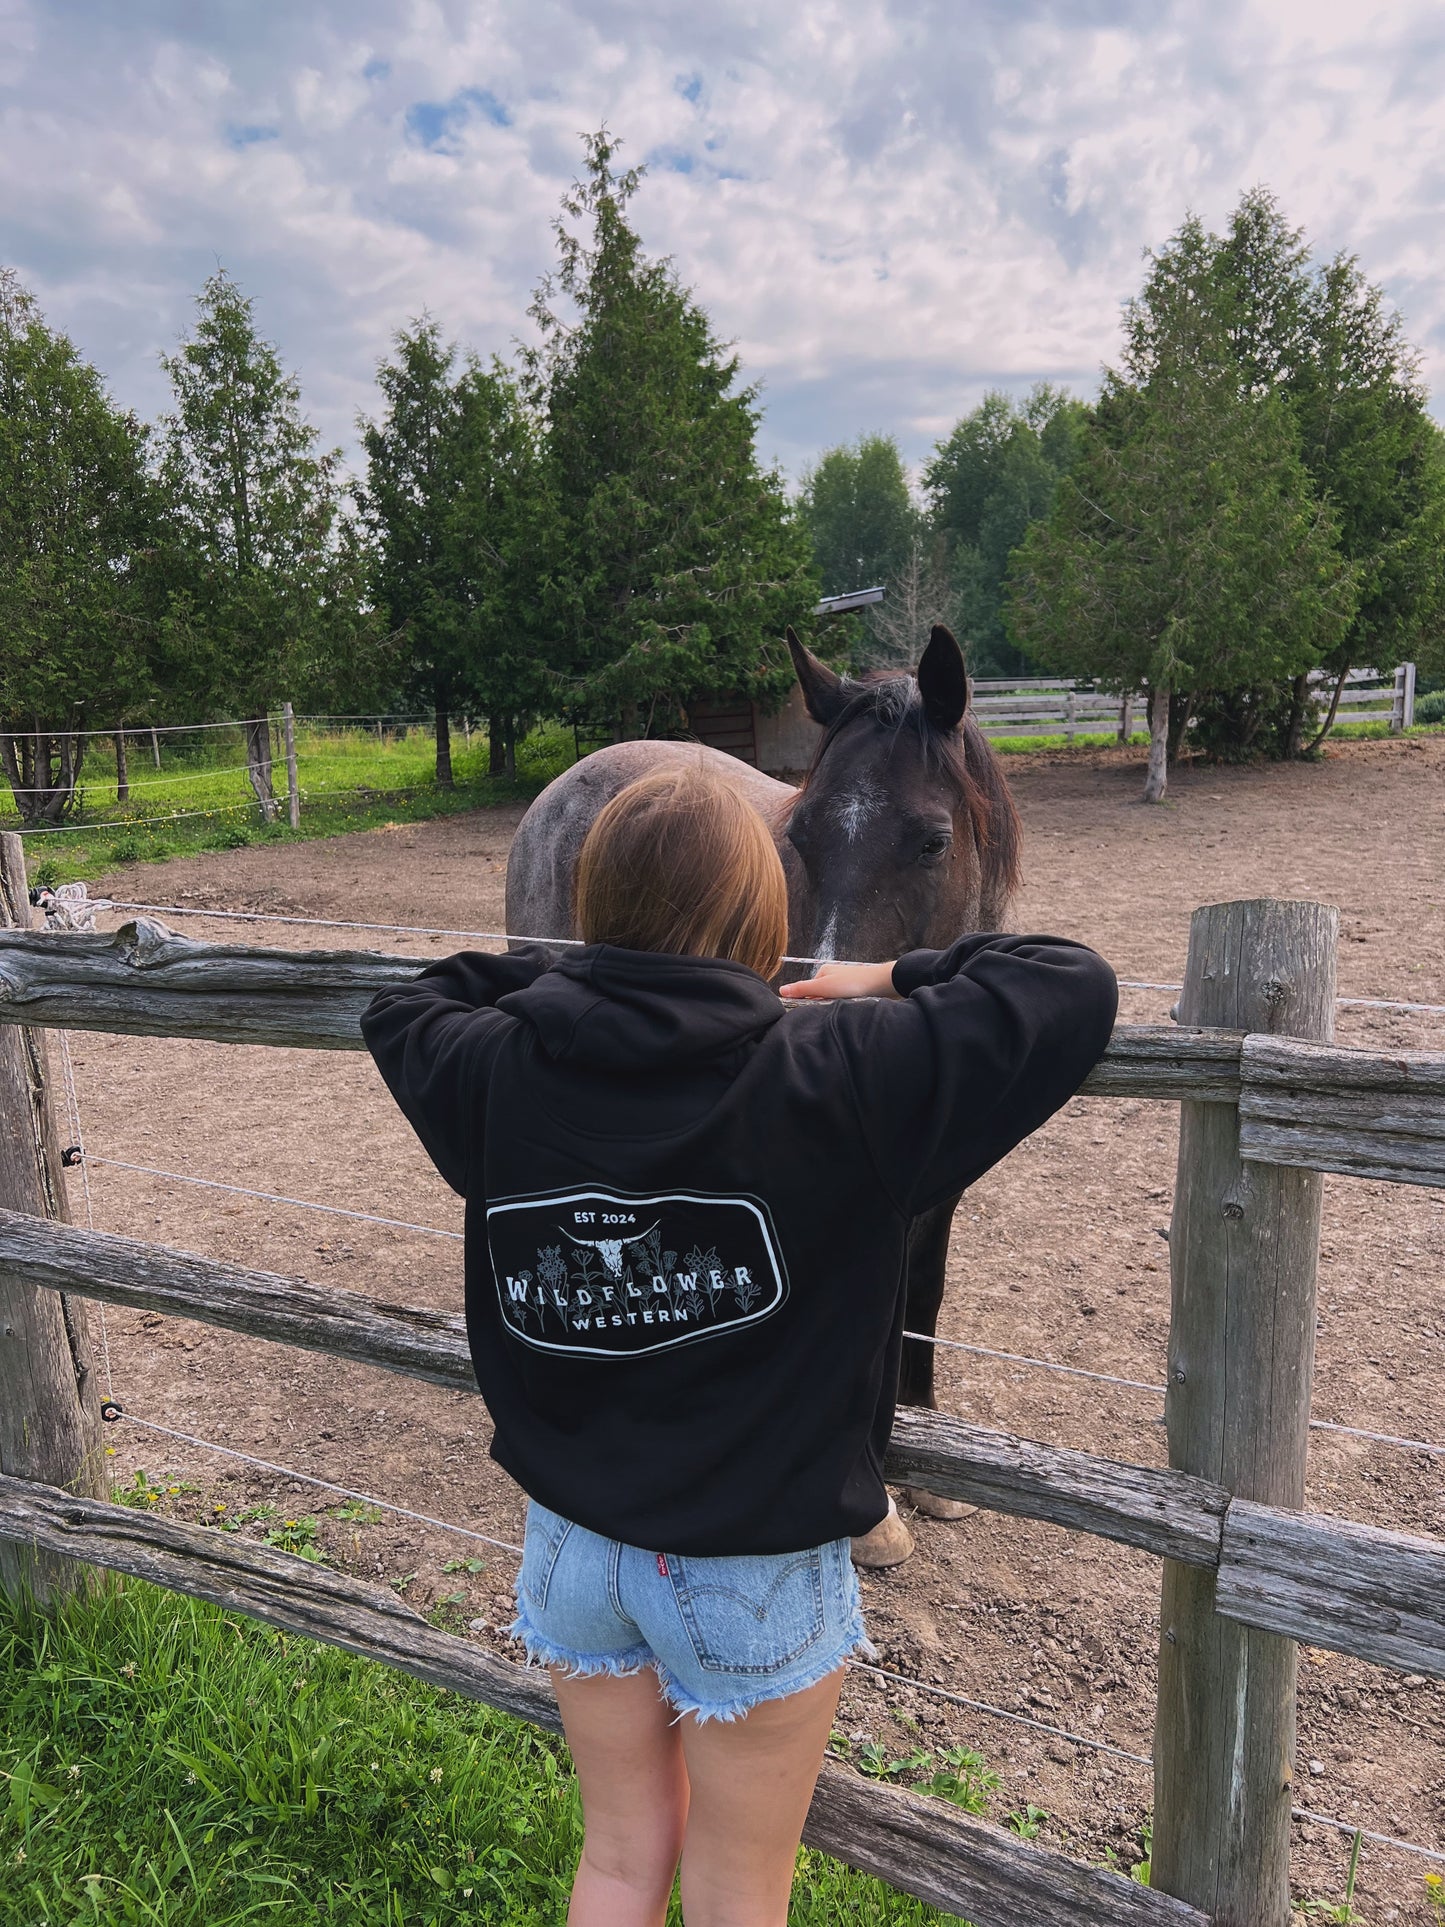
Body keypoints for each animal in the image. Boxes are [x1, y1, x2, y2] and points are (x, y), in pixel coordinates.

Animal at [504, 628, 1024, 1564]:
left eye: (932, 841)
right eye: (803, 836)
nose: (827, 1013)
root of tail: (568, 782)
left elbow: (923, 1293)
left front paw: (930, 1466)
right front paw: (875, 1516)